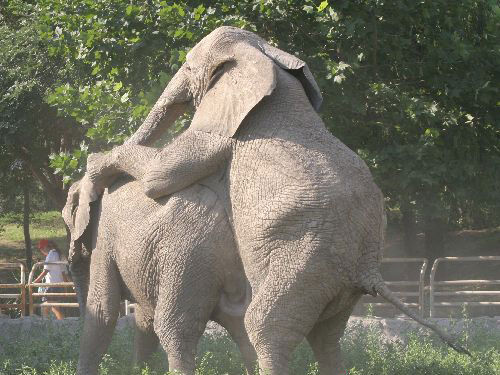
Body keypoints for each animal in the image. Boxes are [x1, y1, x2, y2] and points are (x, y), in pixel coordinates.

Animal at [64, 174, 256, 375]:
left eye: (67, 223)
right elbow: (144, 318)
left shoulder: (102, 237)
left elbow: (102, 309)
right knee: (242, 325)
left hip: (188, 258)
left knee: (173, 329)